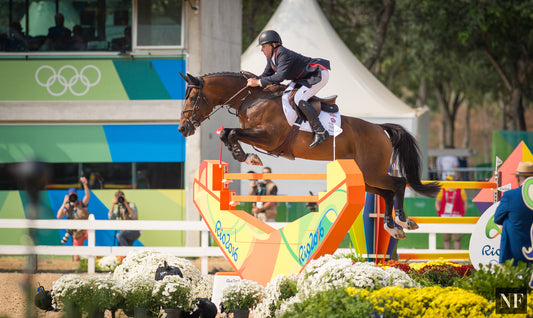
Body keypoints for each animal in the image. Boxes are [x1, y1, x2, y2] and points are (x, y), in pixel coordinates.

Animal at [177, 70, 438, 238]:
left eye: (192, 97)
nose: (182, 128)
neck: (252, 99)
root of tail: (379, 128)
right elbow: (228, 133)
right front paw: (245, 156)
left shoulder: (269, 137)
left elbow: (231, 132)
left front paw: (248, 157)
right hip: (365, 177)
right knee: (387, 192)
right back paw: (393, 226)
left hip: (373, 171)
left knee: (399, 183)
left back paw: (403, 220)